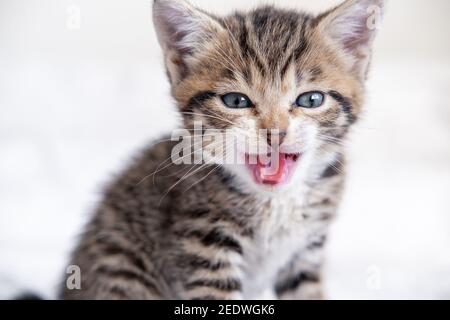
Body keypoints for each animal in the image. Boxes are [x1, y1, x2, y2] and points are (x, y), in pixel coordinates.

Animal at [60, 0, 384, 300]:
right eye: (236, 101)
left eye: (311, 100)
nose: (275, 132)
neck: (275, 204)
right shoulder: (204, 241)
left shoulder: (305, 252)